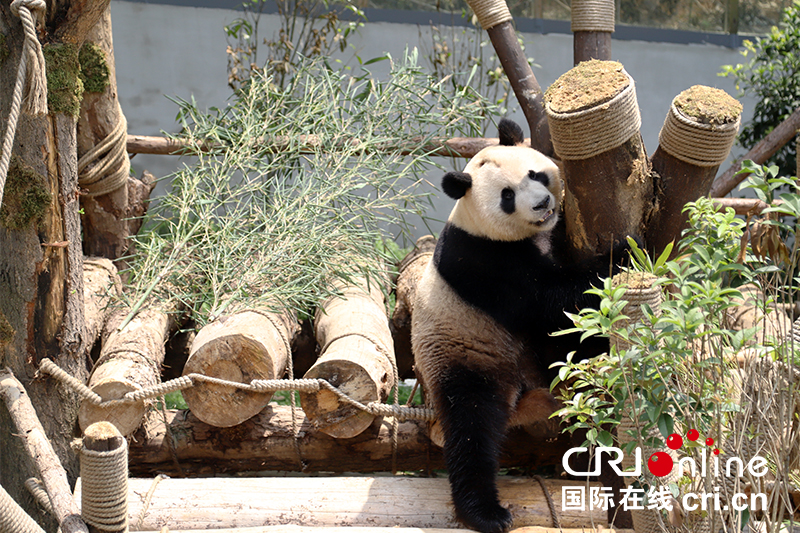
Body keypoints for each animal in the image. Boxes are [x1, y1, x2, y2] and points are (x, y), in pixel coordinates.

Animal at [412, 119, 632, 532]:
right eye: (507, 196)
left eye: (535, 174)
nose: (543, 204)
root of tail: (521, 400)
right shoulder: (484, 260)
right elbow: (547, 301)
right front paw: (624, 255)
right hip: (465, 355)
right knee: (472, 428)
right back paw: (484, 512)